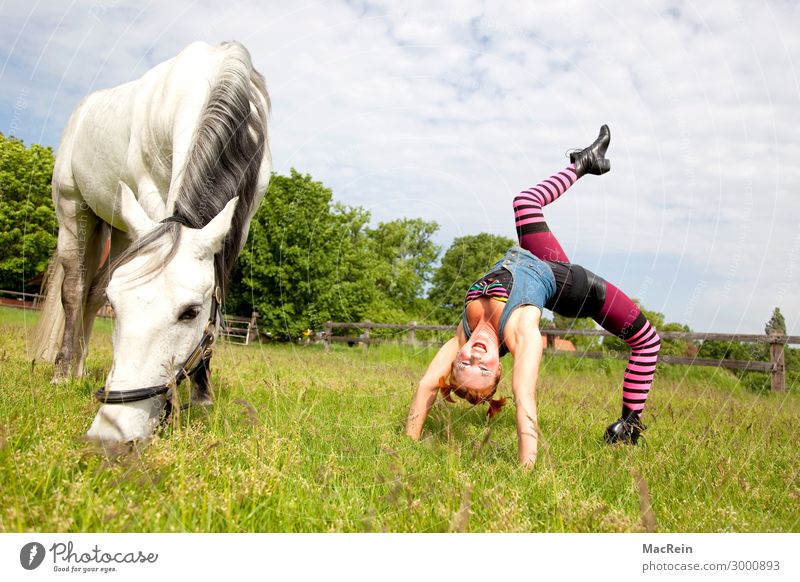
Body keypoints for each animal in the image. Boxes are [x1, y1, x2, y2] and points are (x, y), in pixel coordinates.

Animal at [33, 41, 272, 442]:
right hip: (72, 209)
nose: (114, 429)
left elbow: (218, 290)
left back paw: (80, 366)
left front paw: (202, 396)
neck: (218, 75)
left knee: (93, 292)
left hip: (121, 229)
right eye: (120, 307)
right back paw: (63, 372)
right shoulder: (149, 191)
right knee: (74, 290)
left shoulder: (242, 220)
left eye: (190, 311)